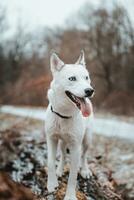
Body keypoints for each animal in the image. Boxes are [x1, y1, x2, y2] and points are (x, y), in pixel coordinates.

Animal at [45, 51, 94, 200]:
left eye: (86, 77)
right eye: (72, 78)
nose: (90, 90)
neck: (63, 115)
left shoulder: (76, 146)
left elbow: (73, 175)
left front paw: (70, 196)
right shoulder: (51, 138)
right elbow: (50, 162)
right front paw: (52, 184)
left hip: (87, 140)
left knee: (84, 156)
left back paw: (85, 170)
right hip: (62, 142)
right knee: (62, 155)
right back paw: (60, 170)